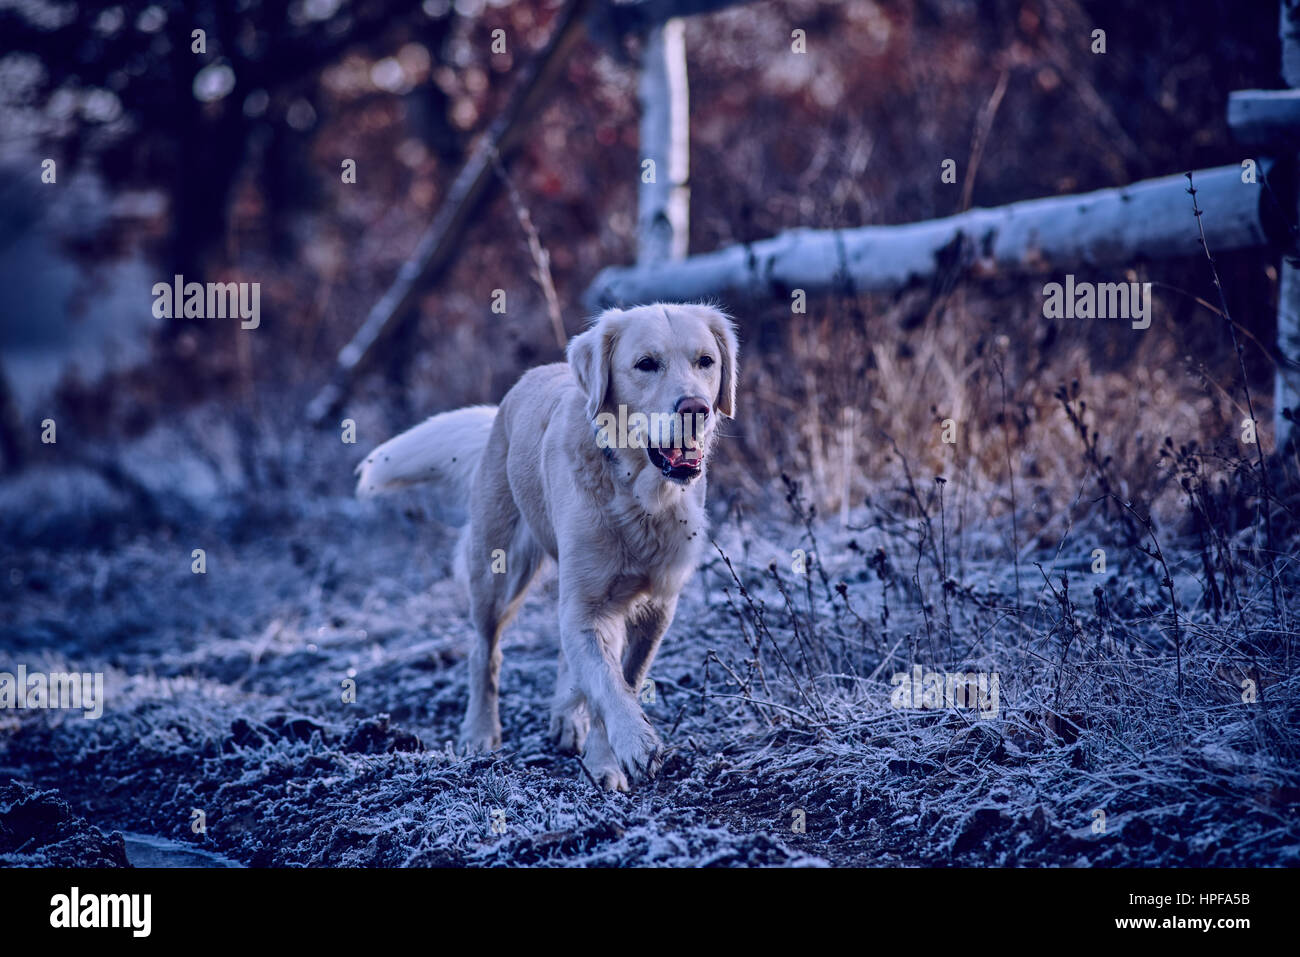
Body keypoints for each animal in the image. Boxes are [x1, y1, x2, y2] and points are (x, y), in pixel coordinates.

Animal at [358, 302, 743, 790]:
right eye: (646, 364)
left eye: (705, 361)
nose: (695, 407)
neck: (637, 494)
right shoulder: (586, 605)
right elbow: (607, 684)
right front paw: (632, 743)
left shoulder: (655, 606)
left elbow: (622, 678)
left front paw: (604, 757)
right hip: (498, 572)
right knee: (485, 652)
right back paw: (479, 731)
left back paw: (566, 715)